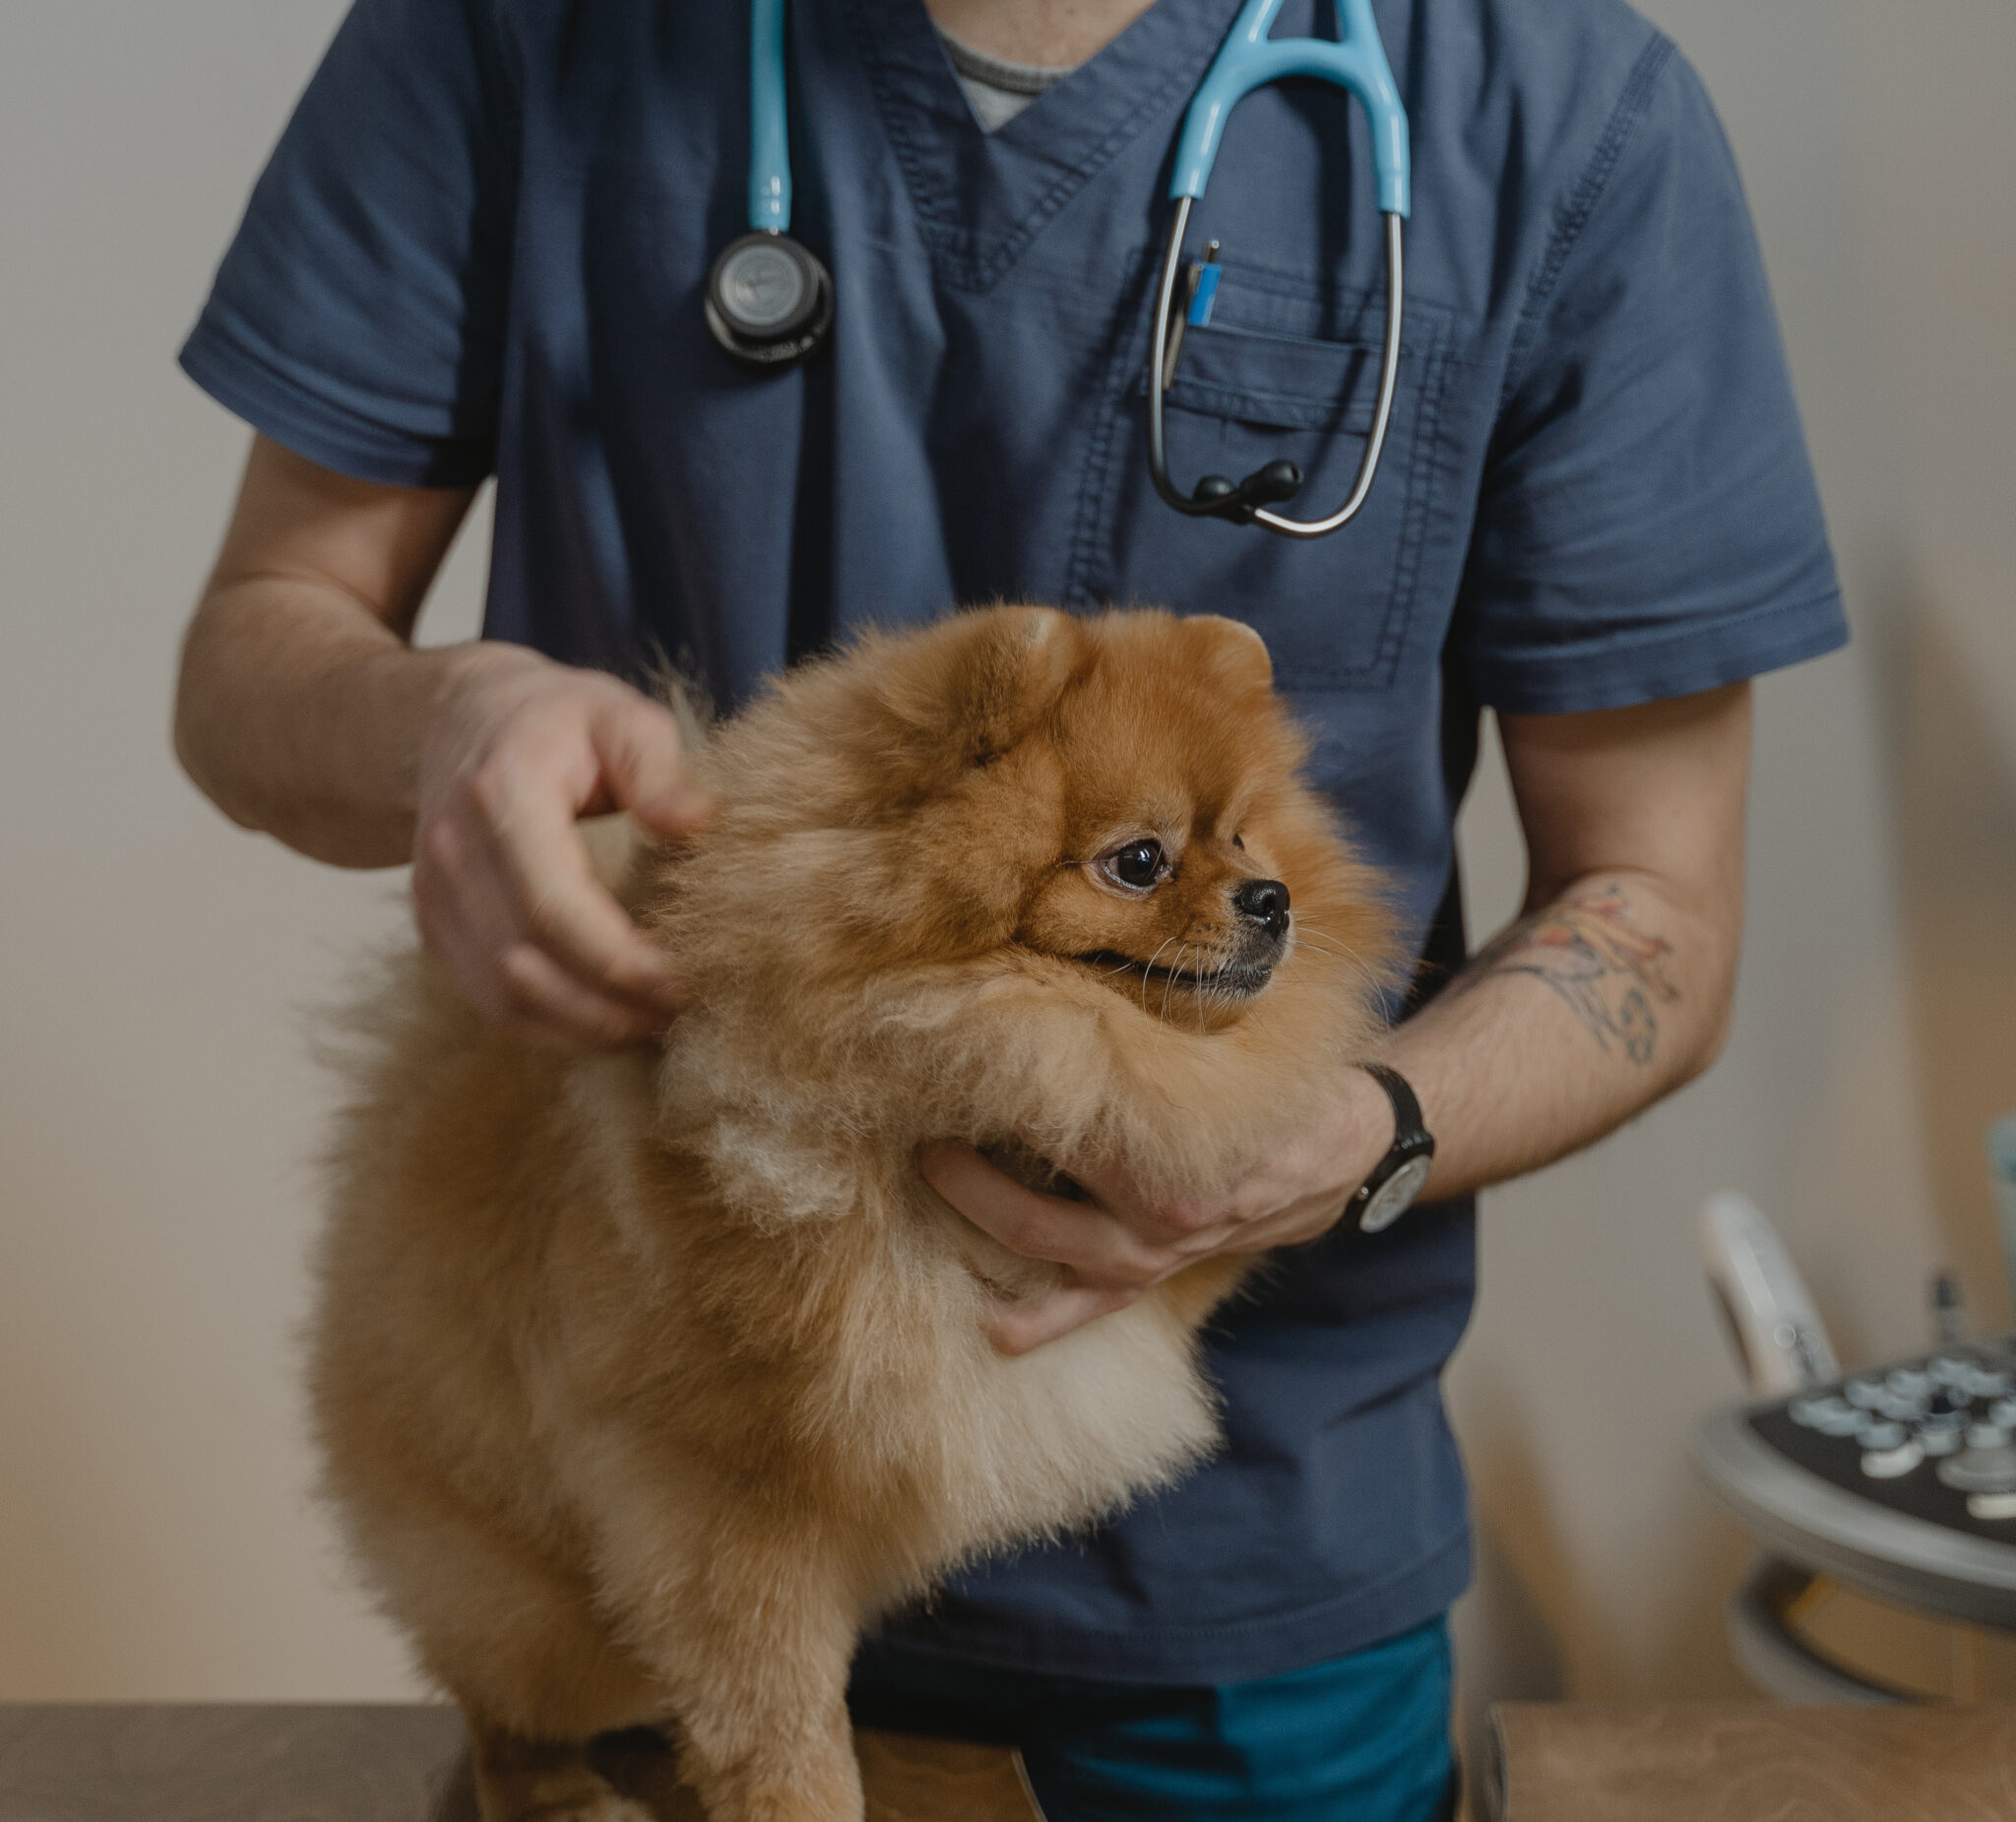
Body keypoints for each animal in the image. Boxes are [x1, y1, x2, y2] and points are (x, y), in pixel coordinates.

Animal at [310, 608, 1403, 1822]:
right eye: (1138, 860)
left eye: (1248, 838)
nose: (1271, 900)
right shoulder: (722, 1496)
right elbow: (777, 1716)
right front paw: (800, 1799)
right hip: (533, 1585)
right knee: (503, 1692)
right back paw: (554, 1791)